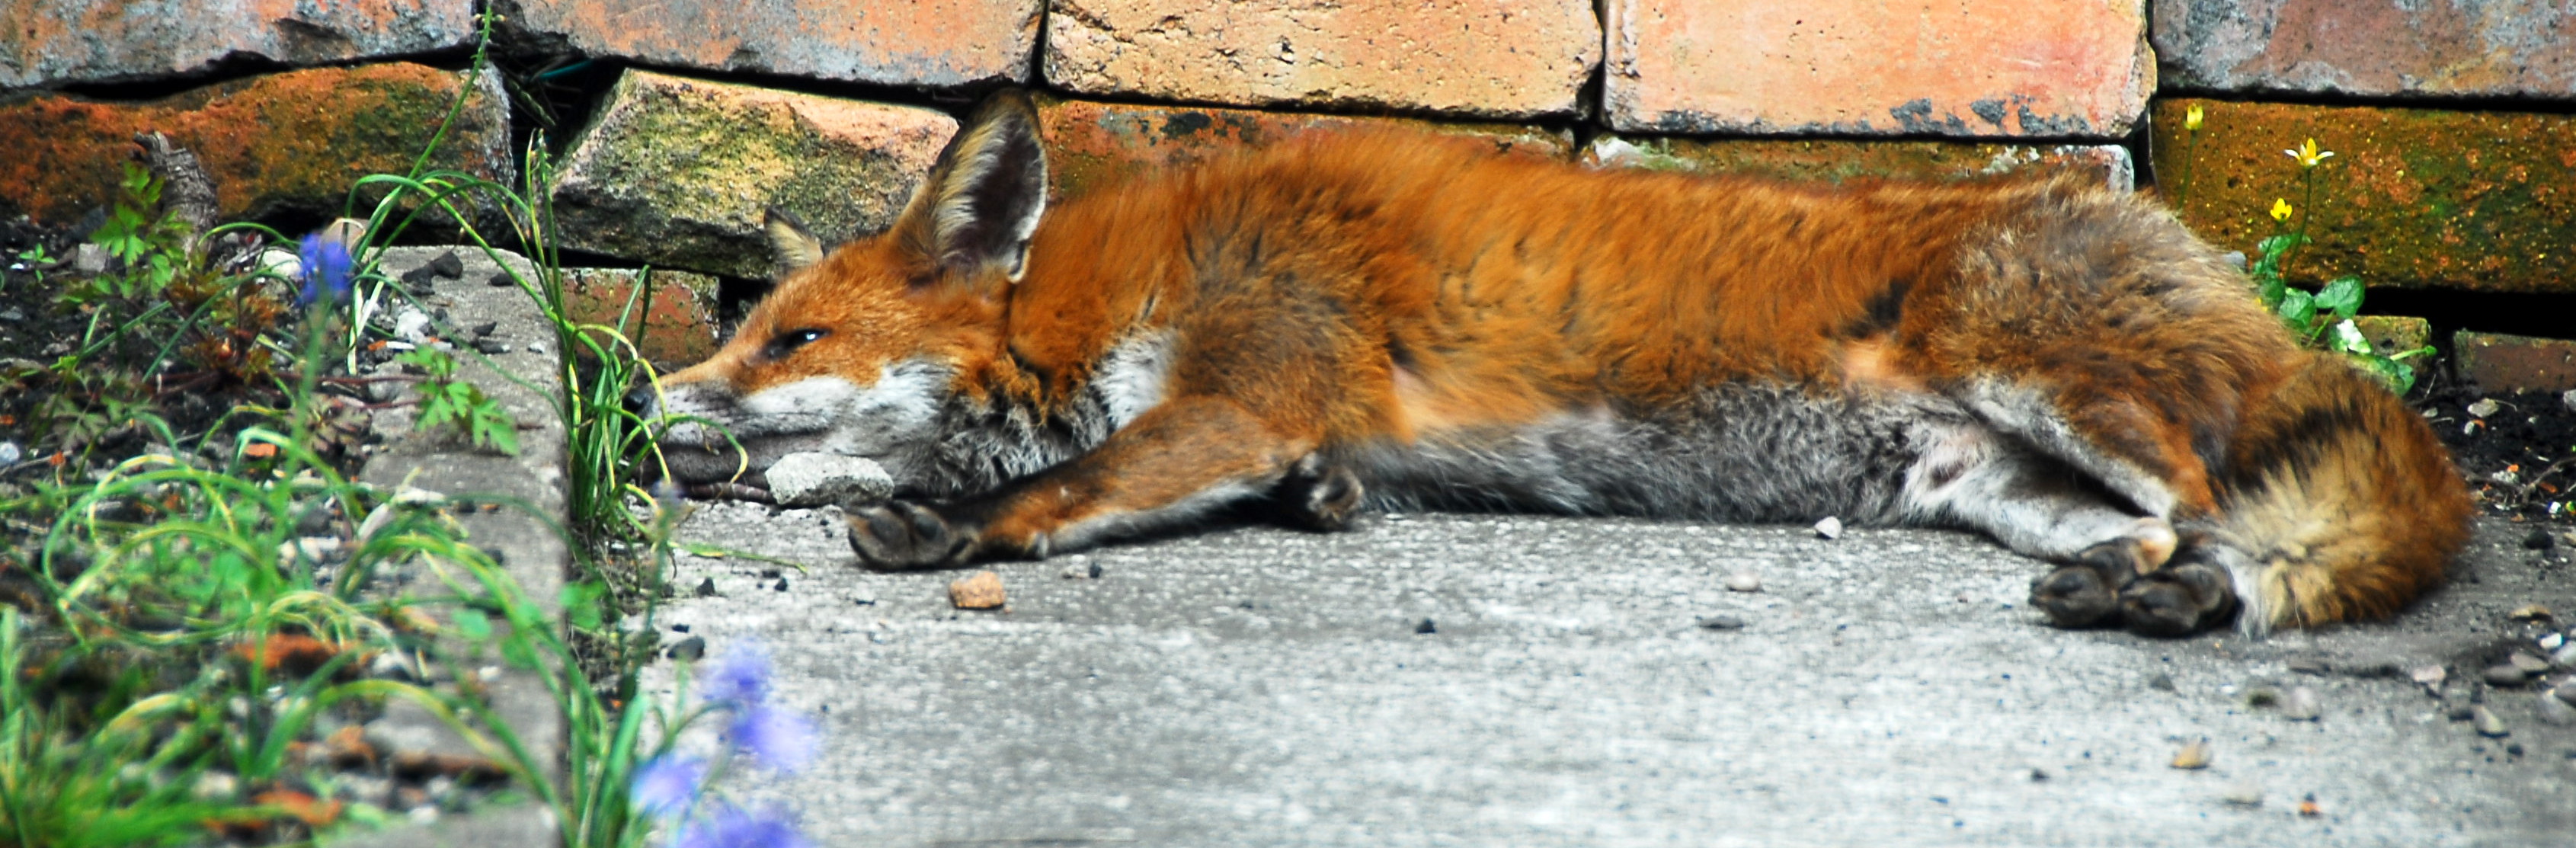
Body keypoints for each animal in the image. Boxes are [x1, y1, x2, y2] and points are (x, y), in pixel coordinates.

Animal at [645, 89, 2472, 637]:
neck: (1131, 287)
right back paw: (2147, 600)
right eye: (737, 328)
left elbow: (1074, 480)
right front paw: (1320, 509)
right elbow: (1252, 479)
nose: (652, 411)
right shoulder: (1268, 417)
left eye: (792, 336)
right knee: (2193, 537)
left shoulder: (1257, 379)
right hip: (1989, 481)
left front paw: (949, 526)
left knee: (2216, 502)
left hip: (2044, 382)